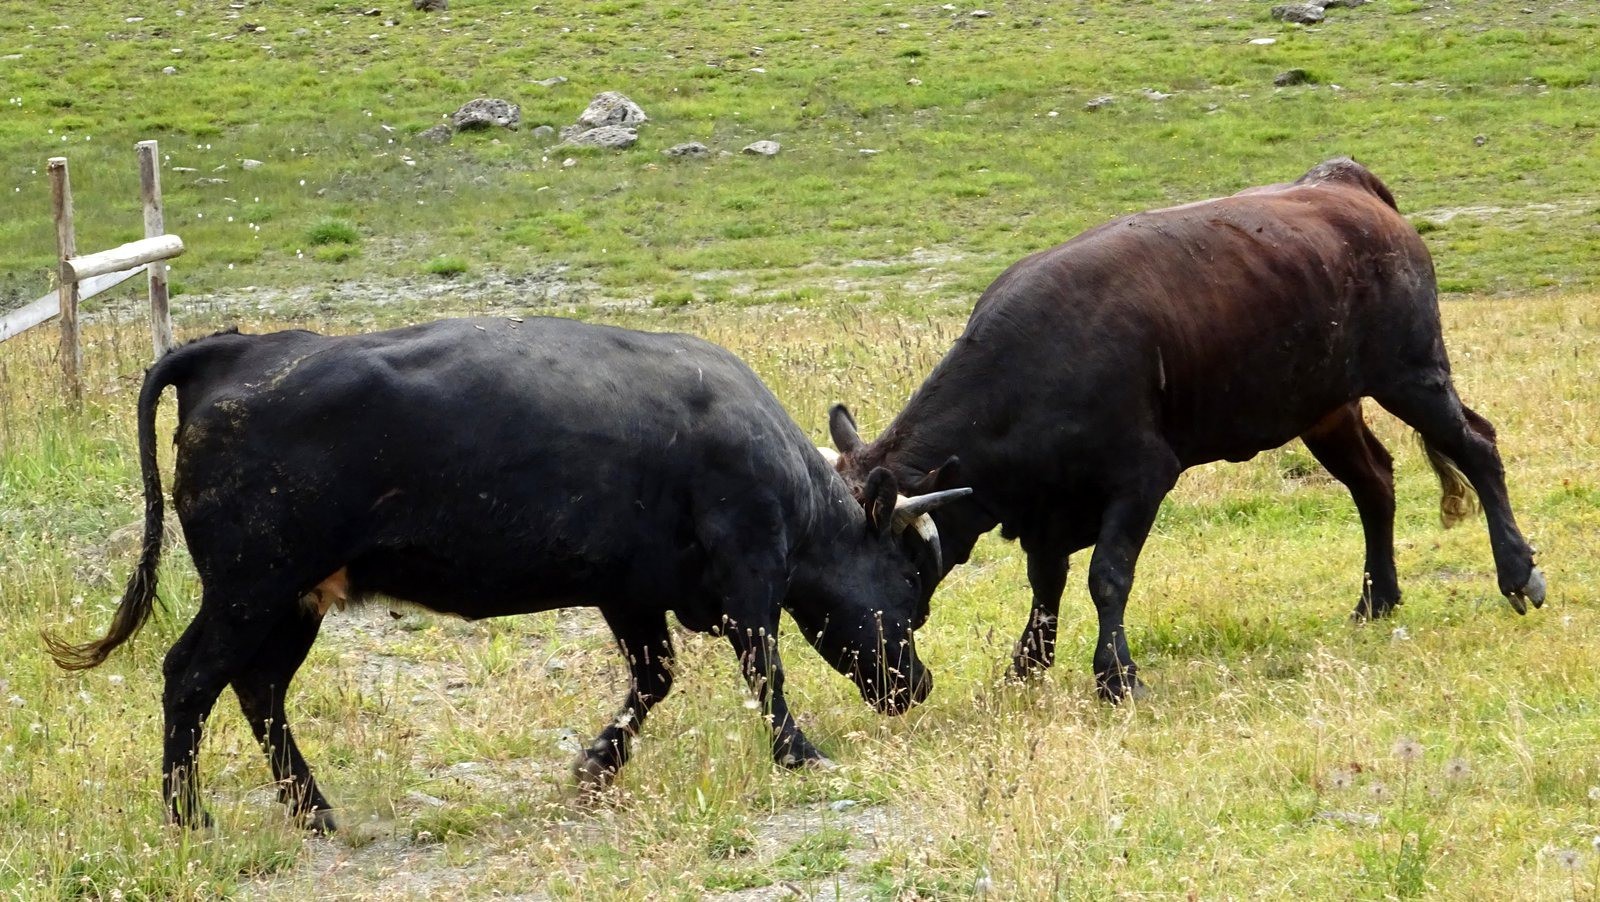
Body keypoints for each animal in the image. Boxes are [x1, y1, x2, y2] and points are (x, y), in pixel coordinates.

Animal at [50, 316, 966, 831]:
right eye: (911, 589)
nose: (917, 684)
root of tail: (236, 351)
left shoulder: (630, 591)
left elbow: (655, 677)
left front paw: (595, 765)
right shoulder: (747, 573)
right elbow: (763, 668)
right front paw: (799, 753)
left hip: (290, 600)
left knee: (258, 690)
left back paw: (314, 811)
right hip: (251, 589)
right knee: (189, 677)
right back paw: (190, 816)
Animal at [832, 158, 1542, 700]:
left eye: (893, 565)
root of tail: (1343, 182)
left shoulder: (1142, 476)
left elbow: (1106, 576)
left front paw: (1117, 677)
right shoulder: (1047, 507)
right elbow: (1046, 583)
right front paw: (1025, 668)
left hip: (1413, 373)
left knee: (1477, 447)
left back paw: (1517, 575)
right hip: (1325, 408)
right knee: (1375, 482)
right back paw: (1377, 601)